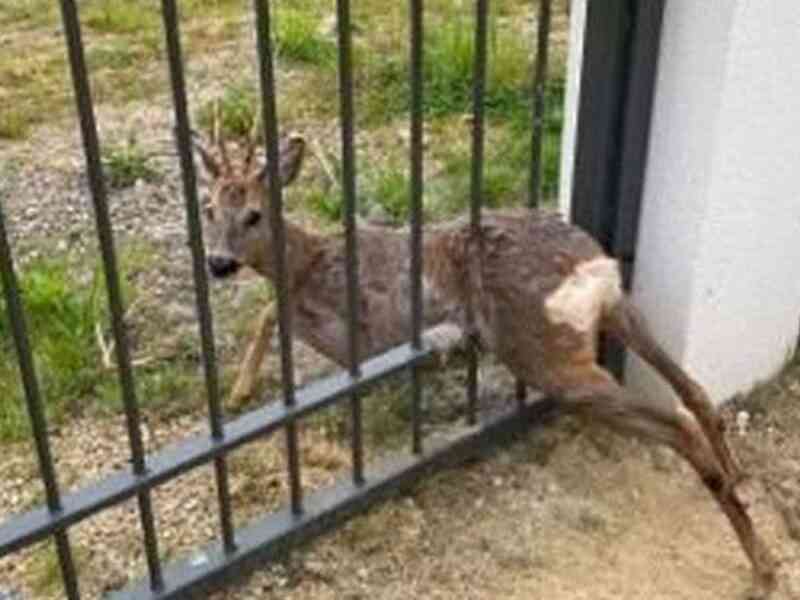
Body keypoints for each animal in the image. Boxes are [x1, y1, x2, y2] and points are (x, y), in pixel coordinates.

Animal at [191, 130, 780, 596]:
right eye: (208, 210)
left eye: (253, 214)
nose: (218, 263)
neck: (310, 260)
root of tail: (586, 267)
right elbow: (270, 311)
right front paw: (243, 385)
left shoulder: (351, 330)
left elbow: (271, 312)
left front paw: (241, 388)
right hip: (617, 306)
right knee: (695, 389)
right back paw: (741, 480)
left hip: (544, 351)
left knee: (677, 423)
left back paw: (762, 563)